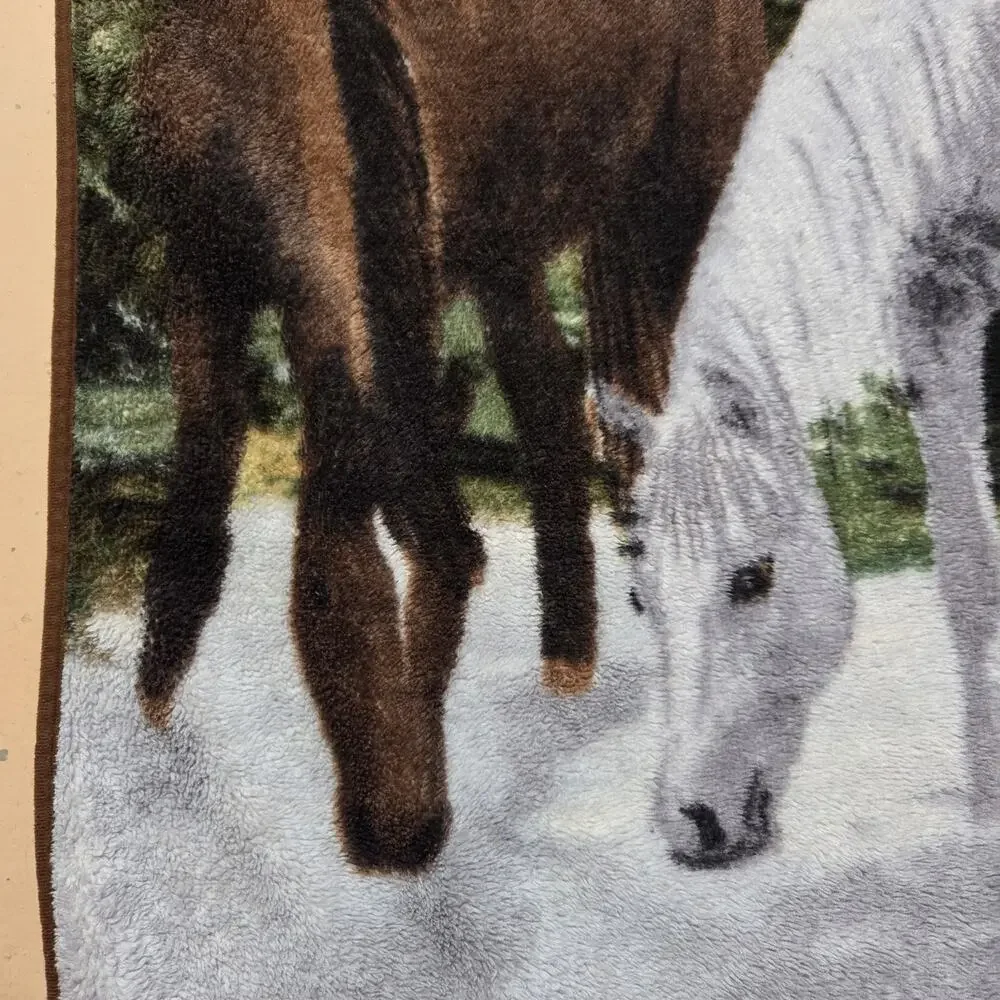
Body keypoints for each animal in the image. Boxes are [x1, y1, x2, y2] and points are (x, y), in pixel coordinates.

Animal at [122, 0, 768, 873]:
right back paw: (569, 659)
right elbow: (196, 501)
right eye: (322, 593)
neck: (254, 69)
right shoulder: (200, 285)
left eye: (461, 580)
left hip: (688, 187)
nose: (405, 840)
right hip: (508, 243)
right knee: (551, 398)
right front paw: (155, 706)